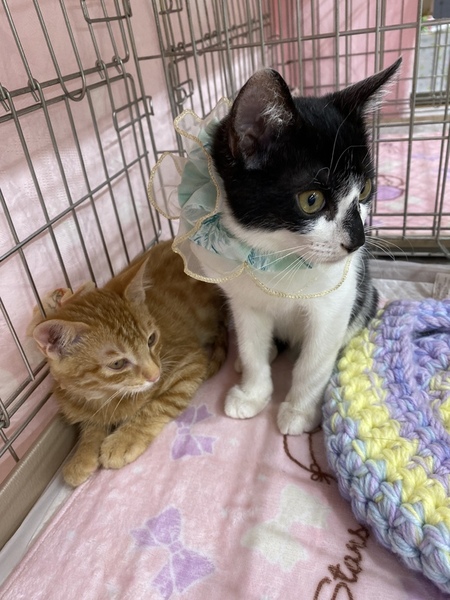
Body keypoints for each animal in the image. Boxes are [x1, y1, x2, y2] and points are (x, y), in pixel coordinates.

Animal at [32, 240, 228, 486]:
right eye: (117, 364)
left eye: (151, 340)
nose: (155, 375)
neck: (108, 395)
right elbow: (91, 423)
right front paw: (82, 453)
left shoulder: (189, 361)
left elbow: (157, 405)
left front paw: (124, 439)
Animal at [203, 60, 402, 436]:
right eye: (312, 200)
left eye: (366, 189)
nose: (358, 241)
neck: (278, 255)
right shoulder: (243, 300)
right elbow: (250, 344)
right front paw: (252, 393)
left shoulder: (337, 300)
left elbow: (314, 362)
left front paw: (298, 411)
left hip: (365, 293)